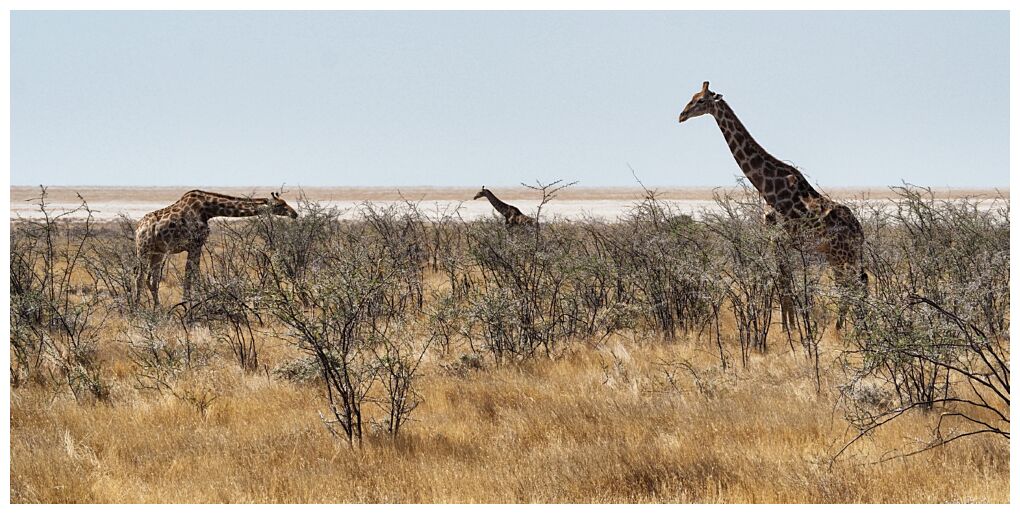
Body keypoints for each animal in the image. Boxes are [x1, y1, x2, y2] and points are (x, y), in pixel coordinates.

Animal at [133, 189, 297, 307]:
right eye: (279, 205)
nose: (294, 214)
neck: (208, 210)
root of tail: (138, 228)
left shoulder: (194, 245)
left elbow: (190, 273)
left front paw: (189, 303)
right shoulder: (195, 244)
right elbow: (192, 273)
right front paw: (190, 305)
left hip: (157, 252)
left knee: (151, 279)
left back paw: (158, 309)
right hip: (143, 249)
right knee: (139, 277)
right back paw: (136, 309)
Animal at [677, 80, 869, 328]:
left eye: (700, 100)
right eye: (691, 97)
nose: (681, 115)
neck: (768, 186)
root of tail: (860, 231)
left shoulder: (779, 238)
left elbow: (784, 283)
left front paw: (789, 329)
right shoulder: (777, 240)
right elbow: (784, 281)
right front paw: (792, 326)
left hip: (841, 253)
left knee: (853, 285)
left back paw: (845, 329)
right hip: (838, 254)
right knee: (857, 282)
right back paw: (856, 327)